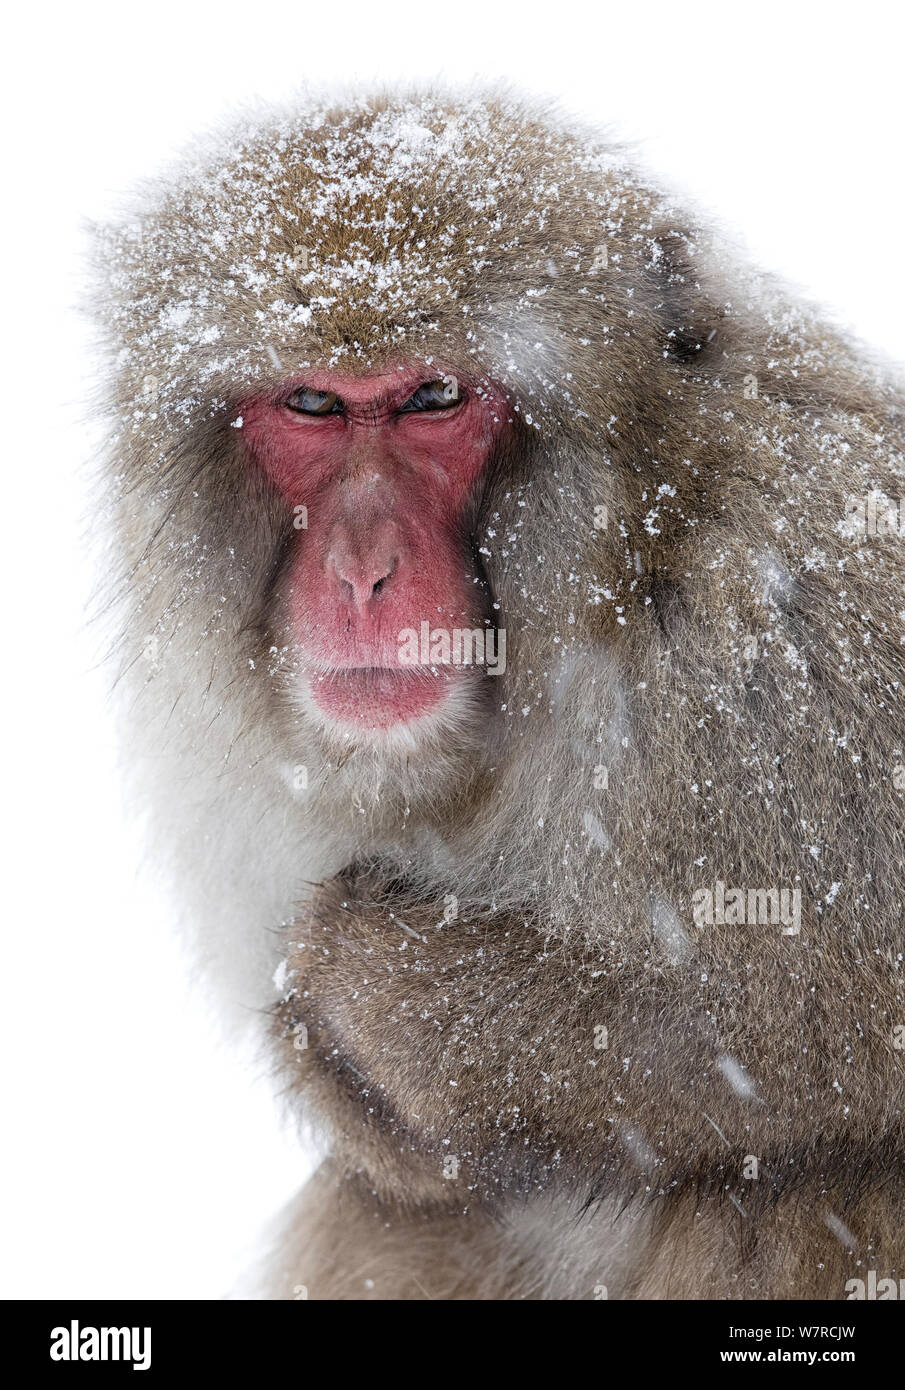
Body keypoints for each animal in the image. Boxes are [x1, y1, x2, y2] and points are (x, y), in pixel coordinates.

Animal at [91, 89, 905, 1300]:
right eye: (313, 403)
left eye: (433, 397)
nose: (362, 571)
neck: (627, 573)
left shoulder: (794, 662)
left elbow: (797, 1040)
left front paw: (383, 999)